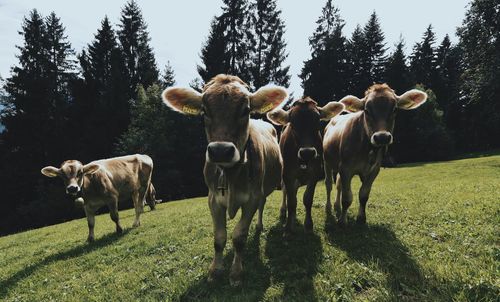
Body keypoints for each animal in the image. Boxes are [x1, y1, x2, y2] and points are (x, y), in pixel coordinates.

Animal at [162, 73, 288, 286]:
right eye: (204, 111)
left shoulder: (252, 198)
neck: (231, 175)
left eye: (246, 110)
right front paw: (214, 271)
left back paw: (259, 226)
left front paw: (236, 273)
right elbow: (219, 238)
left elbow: (239, 237)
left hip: (263, 190)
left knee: (262, 205)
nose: (220, 151)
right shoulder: (213, 199)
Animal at [268, 97, 346, 236]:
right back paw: (284, 212)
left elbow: (307, 199)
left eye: (317, 121)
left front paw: (308, 225)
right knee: (285, 192)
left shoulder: (314, 173)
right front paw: (288, 228)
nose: (307, 152)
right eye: (293, 123)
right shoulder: (287, 174)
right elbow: (291, 201)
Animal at [322, 84, 428, 225]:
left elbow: (363, 195)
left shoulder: (373, 170)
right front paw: (343, 221)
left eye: (395, 109)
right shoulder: (346, 168)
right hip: (326, 162)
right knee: (329, 185)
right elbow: (347, 198)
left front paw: (361, 218)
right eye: (366, 110)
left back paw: (337, 207)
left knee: (338, 184)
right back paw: (329, 208)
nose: (382, 137)